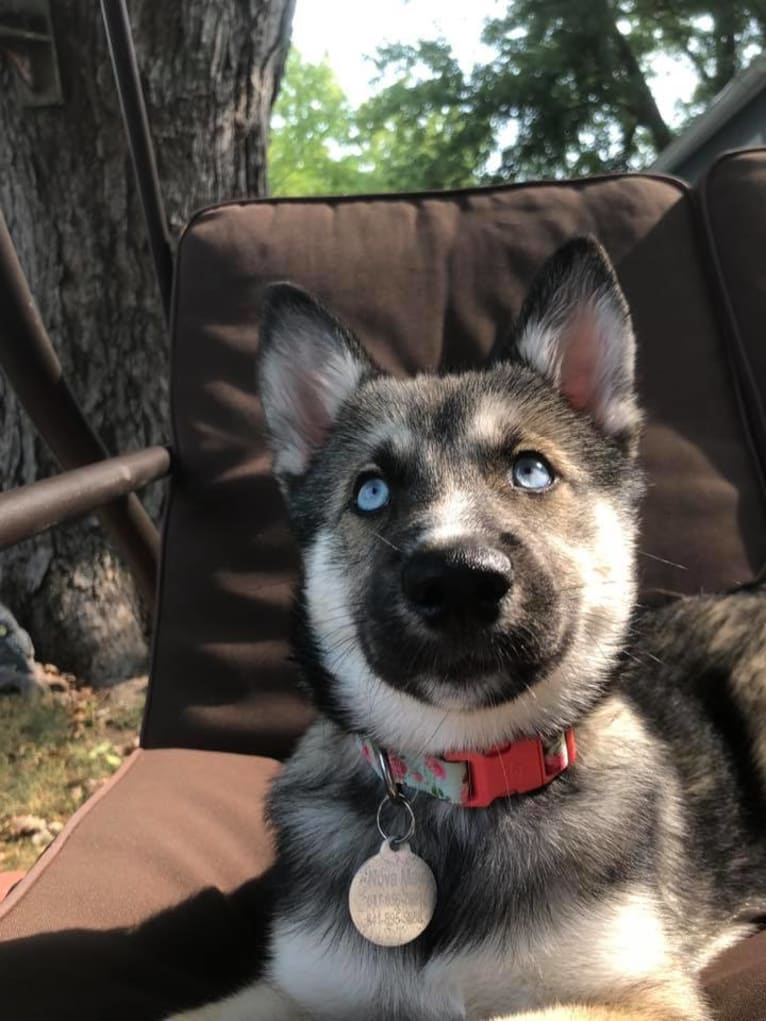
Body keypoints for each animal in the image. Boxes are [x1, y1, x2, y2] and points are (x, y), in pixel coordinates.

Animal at [170, 238, 766, 1021]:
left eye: (532, 470)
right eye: (371, 491)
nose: (457, 581)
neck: (462, 781)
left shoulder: (638, 992)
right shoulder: (302, 983)